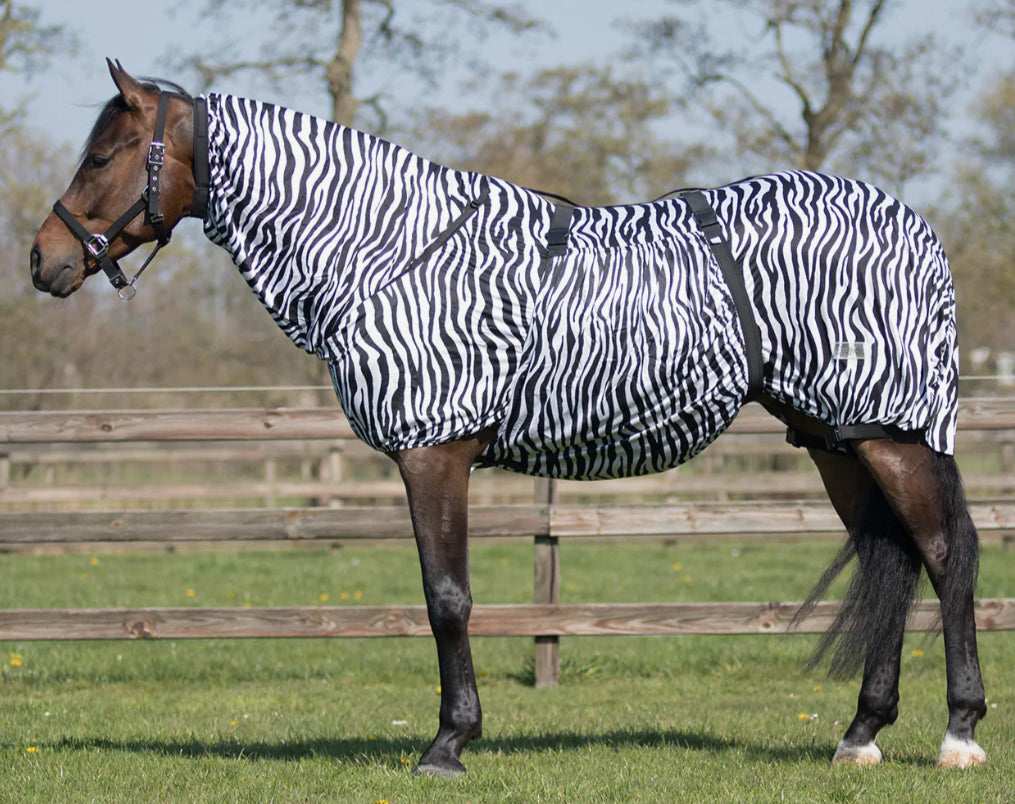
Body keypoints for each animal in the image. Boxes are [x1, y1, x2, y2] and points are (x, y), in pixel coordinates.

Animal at [31, 62, 986, 775]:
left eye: (104, 155)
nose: (42, 260)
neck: (387, 250)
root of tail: (914, 226)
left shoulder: (434, 453)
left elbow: (446, 597)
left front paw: (448, 742)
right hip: (836, 440)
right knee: (893, 556)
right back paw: (859, 735)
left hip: (892, 435)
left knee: (943, 556)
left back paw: (958, 733)